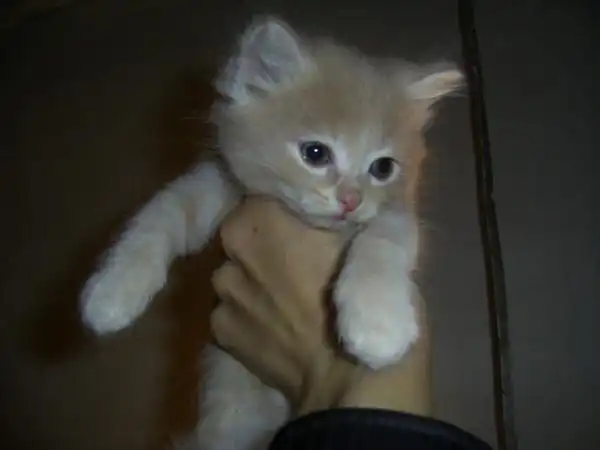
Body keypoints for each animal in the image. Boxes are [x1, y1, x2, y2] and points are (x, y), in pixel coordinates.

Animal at [79, 16, 463, 450]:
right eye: (315, 153)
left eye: (383, 168)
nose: (350, 200)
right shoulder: (219, 182)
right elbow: (160, 215)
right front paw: (113, 292)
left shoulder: (396, 213)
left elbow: (384, 238)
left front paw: (378, 322)